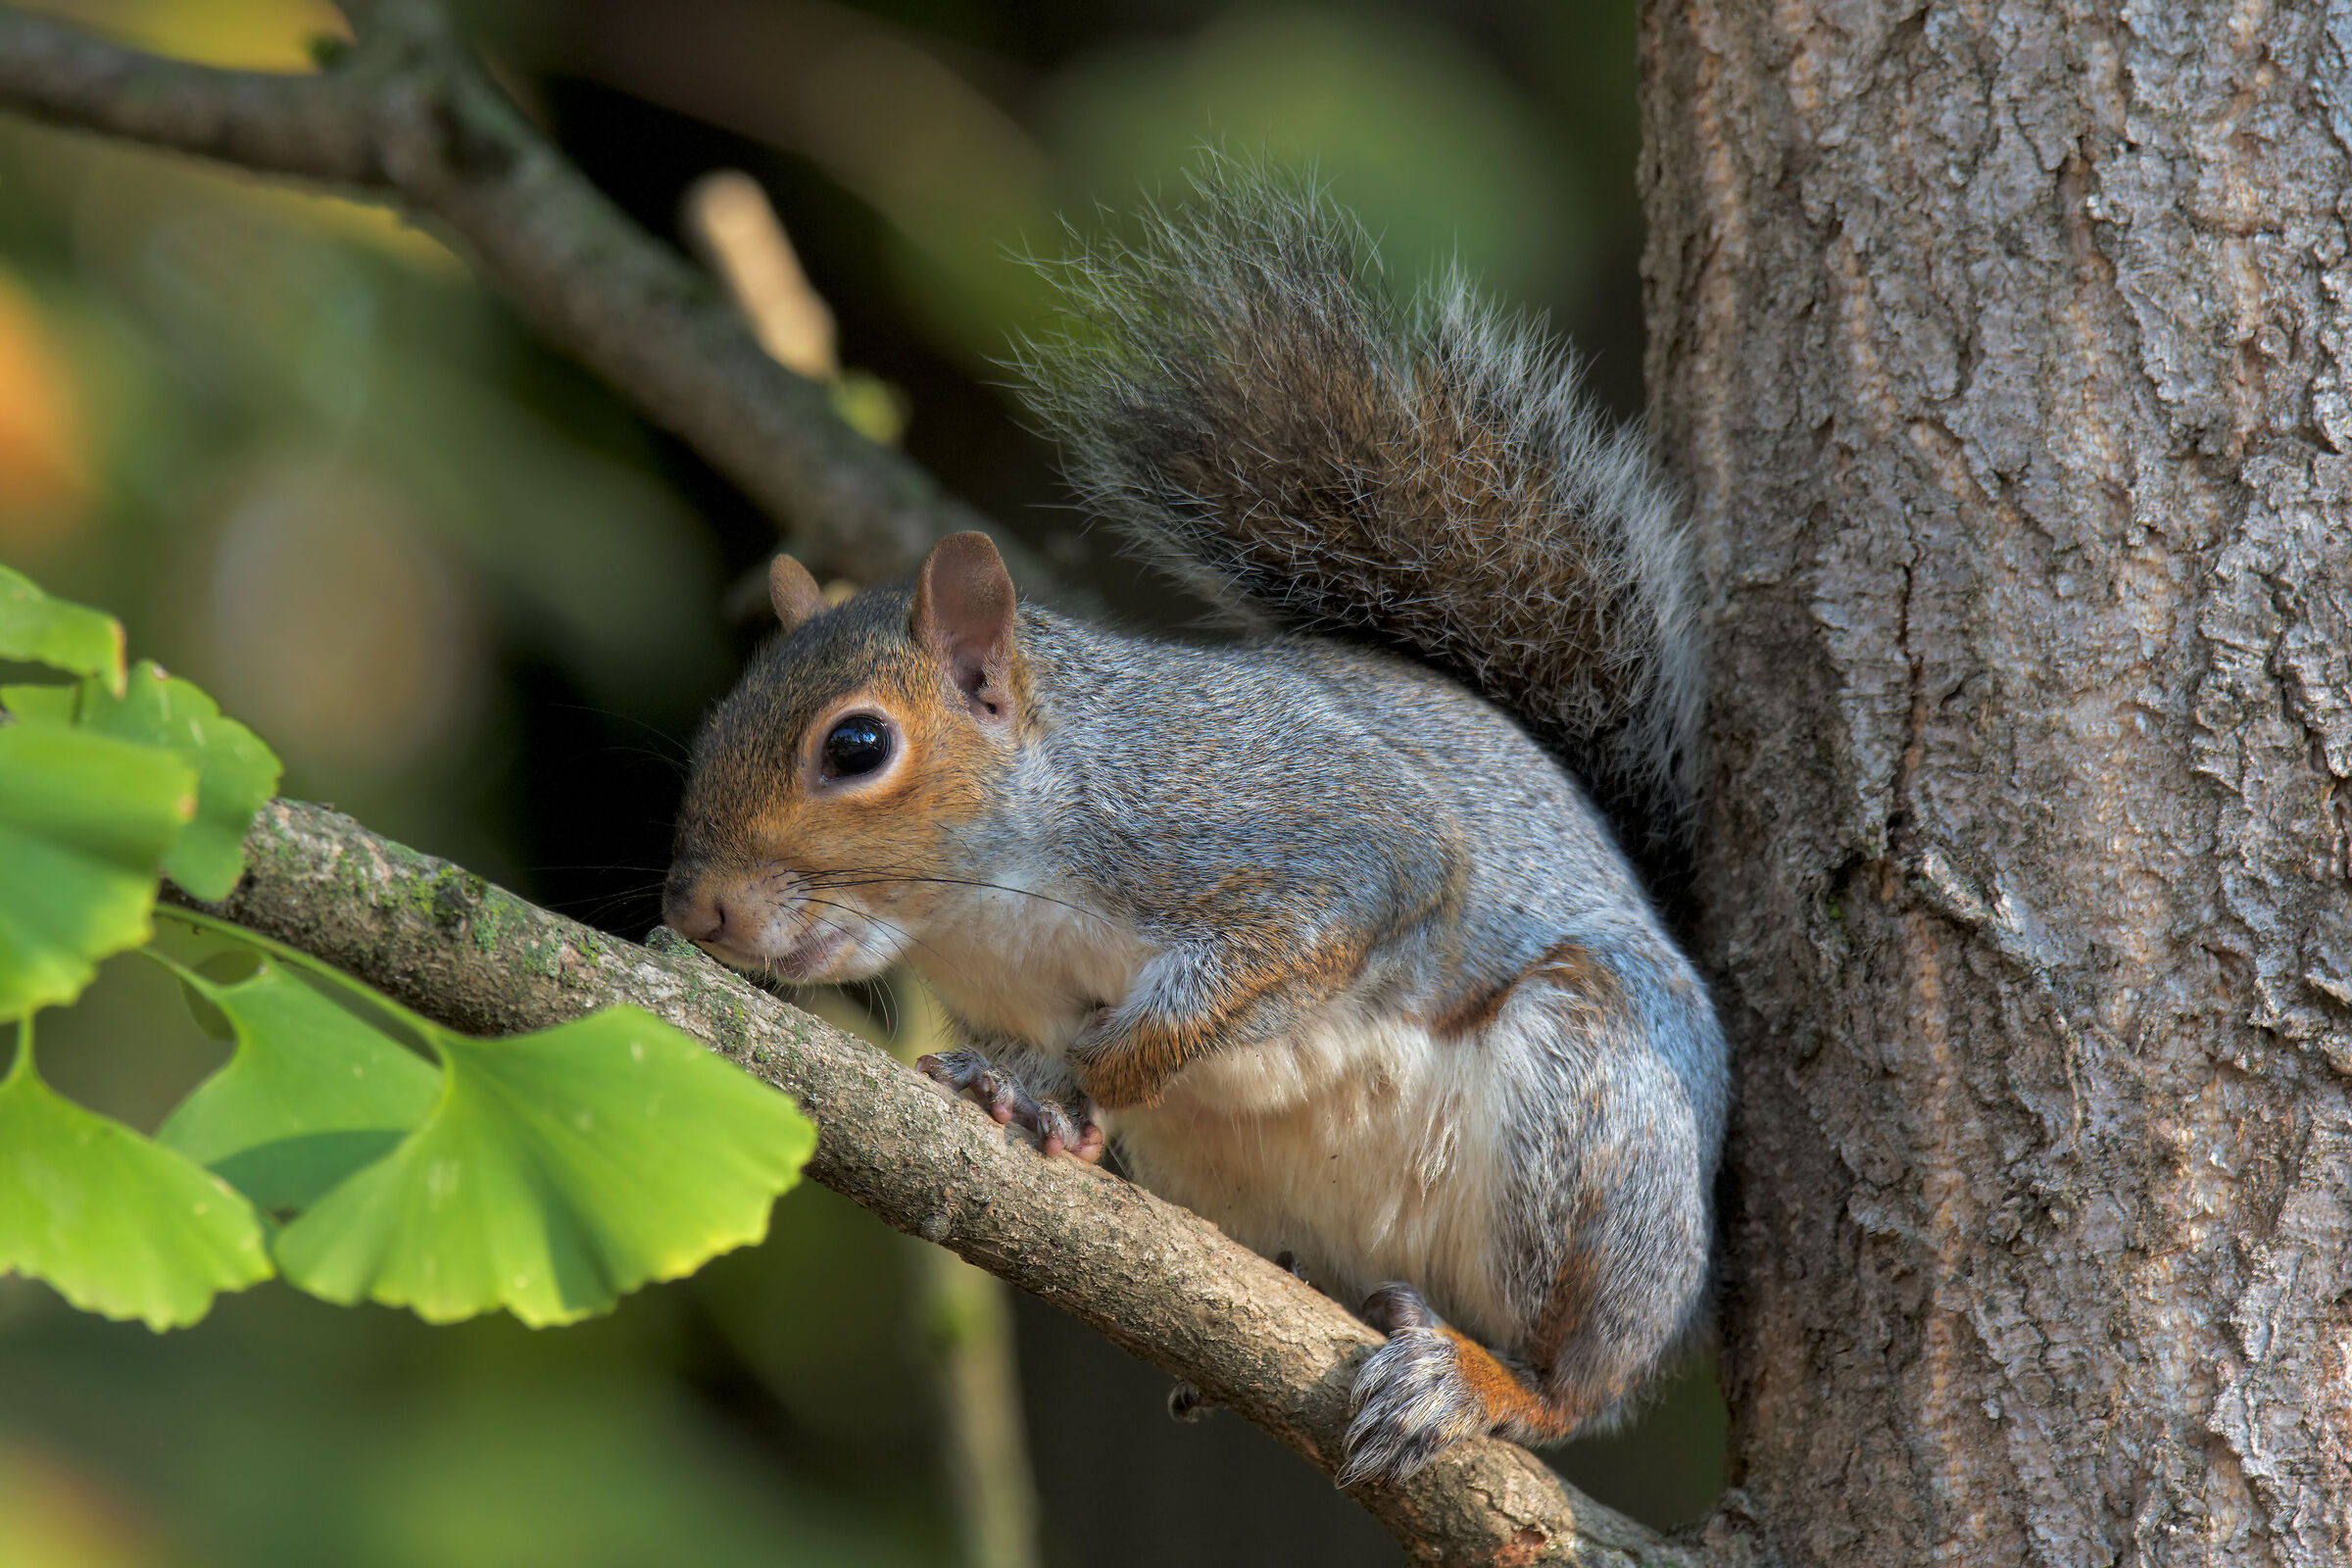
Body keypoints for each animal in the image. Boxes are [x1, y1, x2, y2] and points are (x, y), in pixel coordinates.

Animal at [662, 168, 1727, 1489]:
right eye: (721, 716)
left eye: (855, 747)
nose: (693, 906)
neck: (990, 909)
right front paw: (1008, 1082)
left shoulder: (1300, 835)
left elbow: (1263, 960)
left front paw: (1079, 1072)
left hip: (1594, 1130)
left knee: (1582, 1376)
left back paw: (1483, 1383)